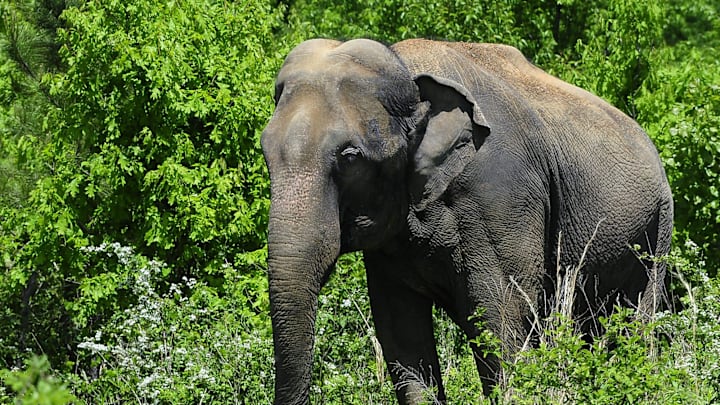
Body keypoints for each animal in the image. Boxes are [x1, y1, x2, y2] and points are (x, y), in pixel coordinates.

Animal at [261, 38, 673, 404]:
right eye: (264, 150)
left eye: (350, 157)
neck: (408, 71)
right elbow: (400, 332)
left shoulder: (501, 195)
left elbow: (501, 317)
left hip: (659, 226)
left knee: (639, 322)